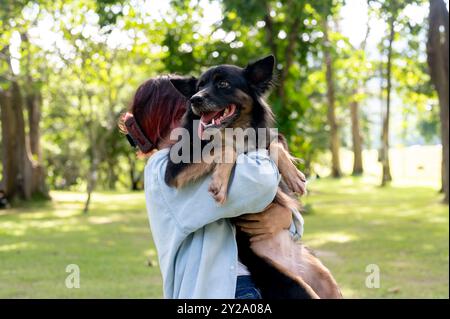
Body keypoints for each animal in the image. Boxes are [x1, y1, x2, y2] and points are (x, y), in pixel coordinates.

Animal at [165, 55, 342, 300]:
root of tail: (291, 264)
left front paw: (294, 176)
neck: (234, 129)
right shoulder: (175, 168)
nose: (194, 99)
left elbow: (274, 142)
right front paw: (220, 182)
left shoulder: (268, 137)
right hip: (293, 285)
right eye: (199, 86)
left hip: (328, 283)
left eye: (223, 84)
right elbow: (225, 148)